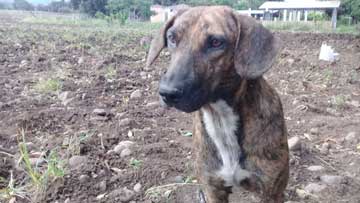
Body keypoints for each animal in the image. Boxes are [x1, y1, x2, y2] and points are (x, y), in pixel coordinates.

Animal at [145, 5, 288, 202]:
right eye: (172, 38)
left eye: (215, 42)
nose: (167, 93)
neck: (220, 118)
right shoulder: (213, 189)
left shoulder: (270, 192)